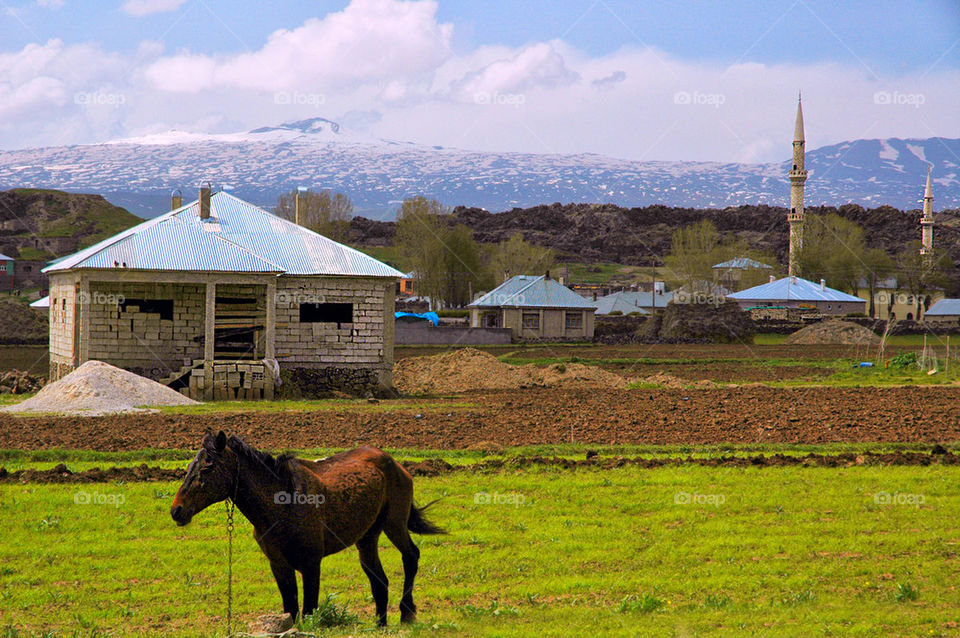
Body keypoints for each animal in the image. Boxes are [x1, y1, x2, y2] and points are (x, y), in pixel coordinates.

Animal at [170, 432, 446, 628]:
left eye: (207, 467)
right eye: (190, 466)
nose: (177, 511)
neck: (283, 502)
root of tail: (396, 464)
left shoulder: (311, 564)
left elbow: (309, 610)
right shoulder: (279, 565)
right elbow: (291, 610)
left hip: (394, 524)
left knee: (411, 556)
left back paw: (407, 612)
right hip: (367, 537)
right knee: (379, 580)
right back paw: (381, 623)